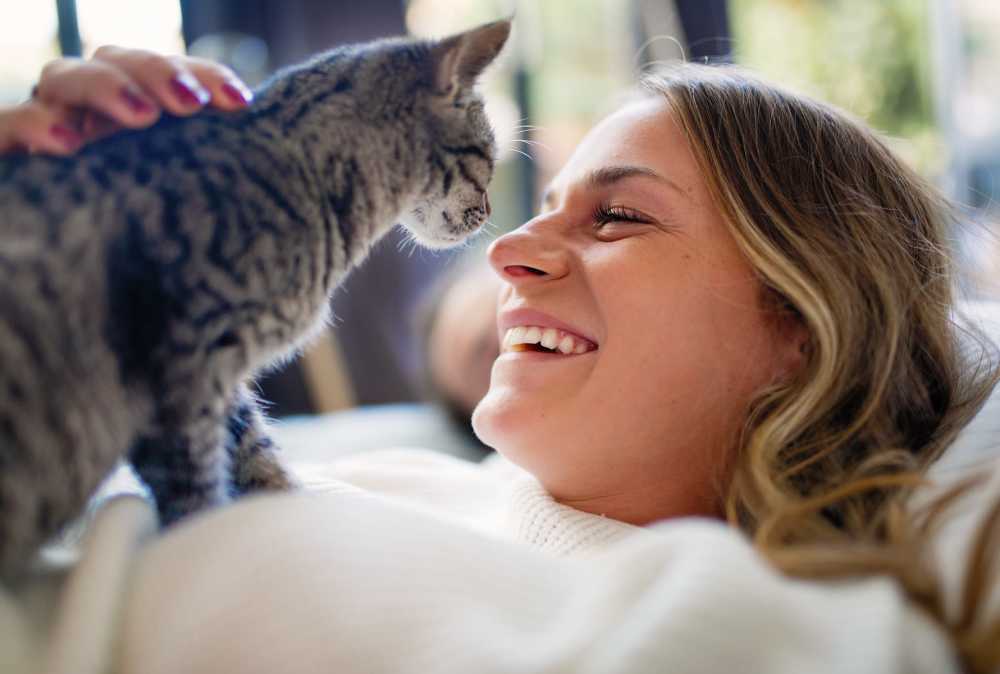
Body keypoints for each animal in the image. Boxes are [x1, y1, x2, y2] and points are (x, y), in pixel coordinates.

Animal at [0, 18, 512, 576]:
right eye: (489, 160)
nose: (489, 213)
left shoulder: (220, 385)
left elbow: (256, 455)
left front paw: (288, 504)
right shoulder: (182, 374)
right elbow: (199, 491)